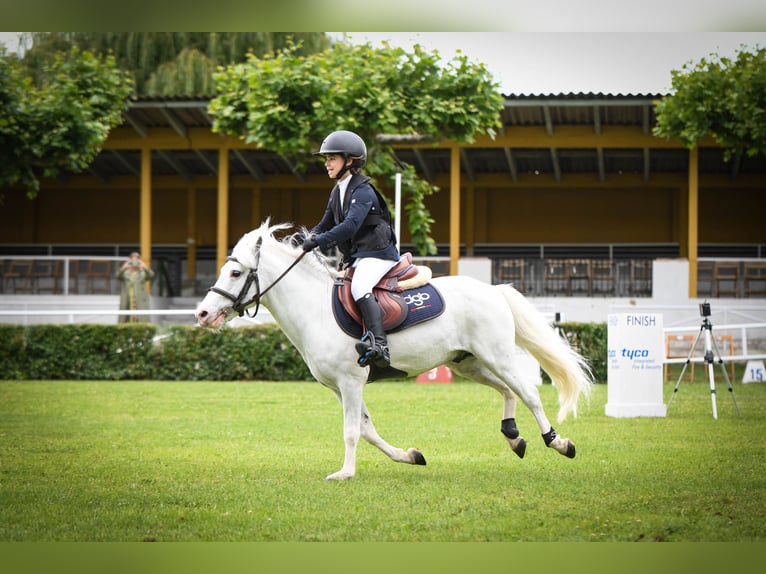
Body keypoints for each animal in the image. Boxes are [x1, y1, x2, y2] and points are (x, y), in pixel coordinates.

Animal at [196, 223, 592, 484]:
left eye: (235, 272)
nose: (202, 314)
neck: (315, 309)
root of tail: (493, 290)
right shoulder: (339, 388)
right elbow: (367, 430)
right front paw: (409, 456)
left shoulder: (351, 382)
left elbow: (352, 431)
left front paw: (345, 473)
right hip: (468, 363)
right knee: (508, 391)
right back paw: (513, 437)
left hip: (498, 357)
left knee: (528, 393)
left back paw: (559, 443)